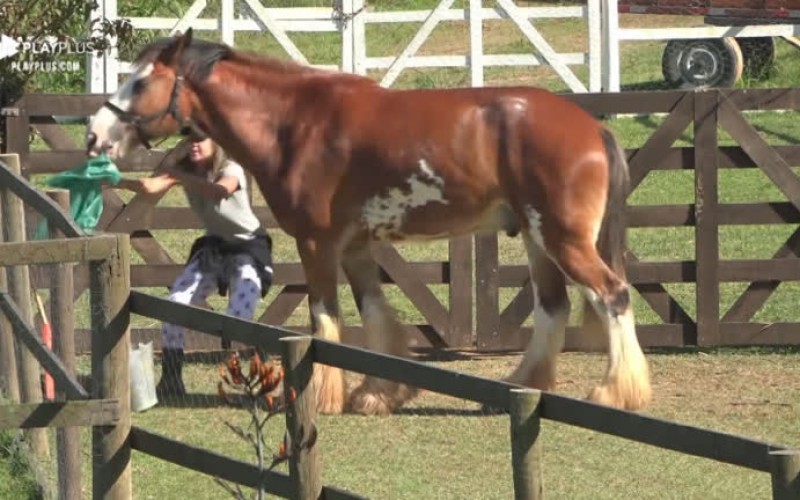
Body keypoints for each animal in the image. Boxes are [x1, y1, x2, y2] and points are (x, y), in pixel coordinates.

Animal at [85, 28, 651, 416]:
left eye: (140, 82)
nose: (94, 134)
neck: (295, 123)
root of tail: (590, 126)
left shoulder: (316, 243)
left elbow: (324, 318)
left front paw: (321, 395)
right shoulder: (355, 247)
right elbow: (374, 313)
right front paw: (378, 393)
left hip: (563, 238)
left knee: (612, 295)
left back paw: (614, 392)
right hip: (537, 239)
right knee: (554, 309)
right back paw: (520, 386)